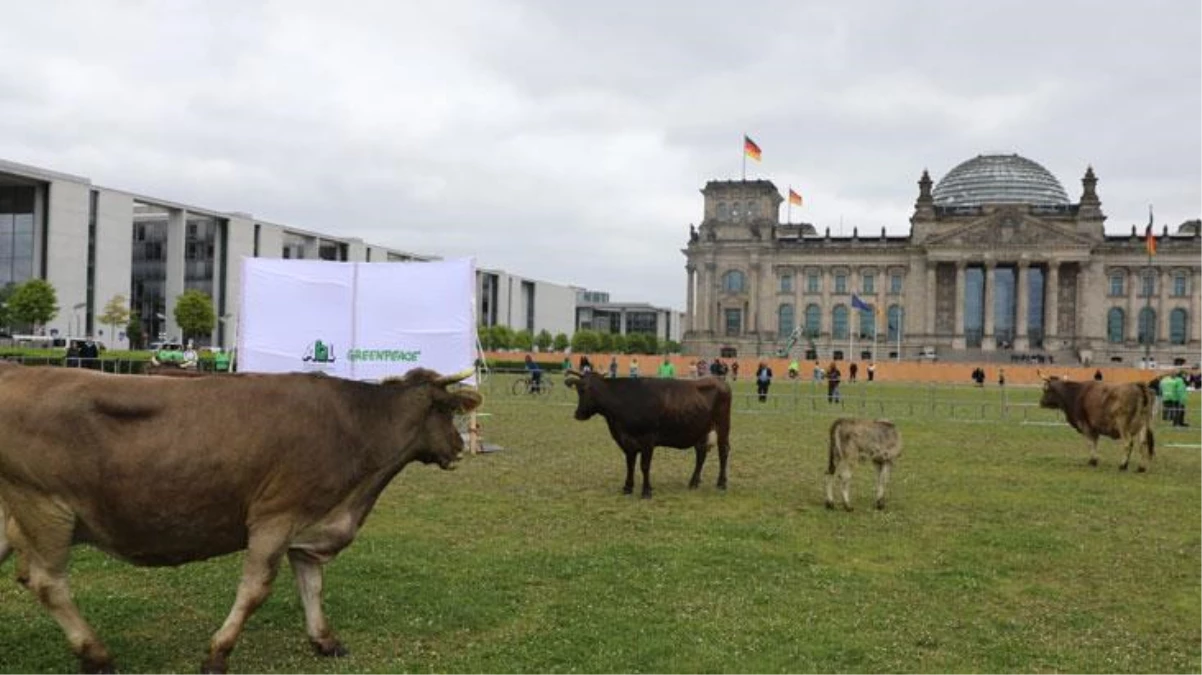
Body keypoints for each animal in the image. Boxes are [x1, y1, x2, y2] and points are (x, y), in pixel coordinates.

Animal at [0, 362, 480, 672]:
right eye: (448, 410)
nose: (460, 447)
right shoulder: (275, 515)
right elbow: (256, 589)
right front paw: (217, 654)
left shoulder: (310, 523)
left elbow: (312, 585)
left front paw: (325, 640)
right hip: (45, 508)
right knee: (46, 582)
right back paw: (97, 656)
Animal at [562, 365, 730, 497]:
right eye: (578, 389)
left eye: (583, 390)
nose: (578, 414)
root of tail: (718, 380)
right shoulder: (626, 441)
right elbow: (630, 464)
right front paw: (627, 488)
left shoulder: (648, 439)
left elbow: (644, 465)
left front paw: (646, 491)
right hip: (700, 429)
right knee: (701, 452)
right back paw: (693, 482)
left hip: (722, 425)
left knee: (723, 451)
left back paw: (721, 483)